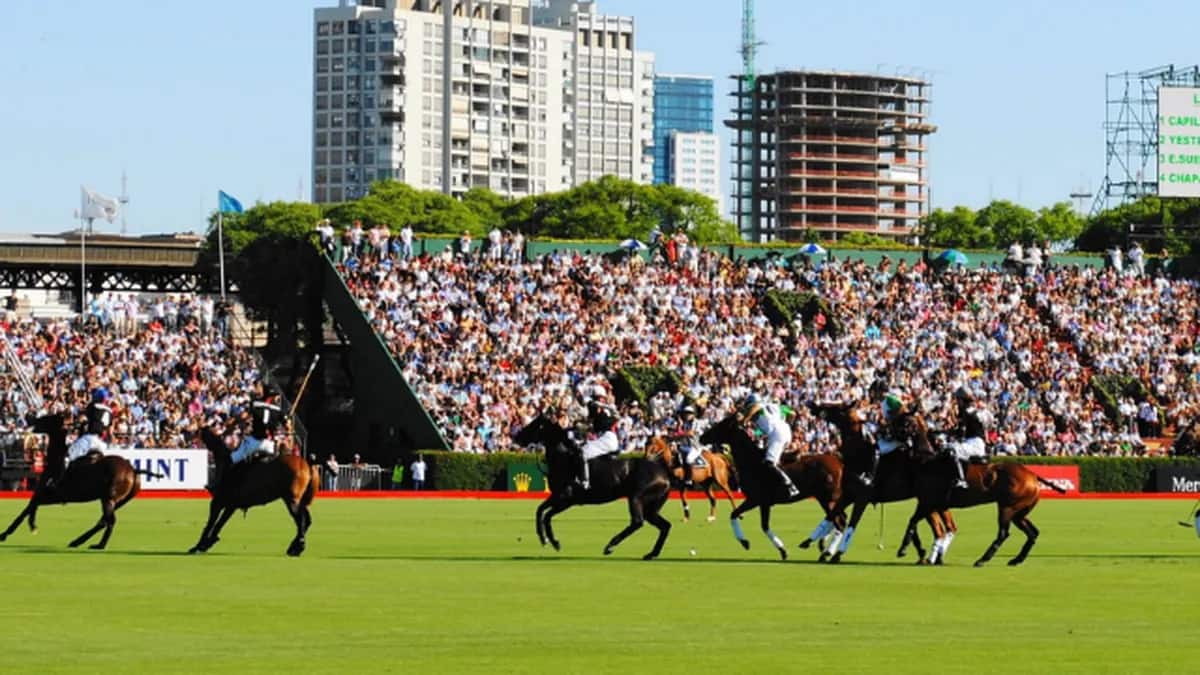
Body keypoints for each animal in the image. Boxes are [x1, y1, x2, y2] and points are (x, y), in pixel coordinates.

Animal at [0, 414, 161, 550]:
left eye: (46, 418)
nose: (30, 418)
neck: (57, 460)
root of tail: (133, 470)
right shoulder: (49, 495)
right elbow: (29, 507)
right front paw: (10, 532)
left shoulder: (53, 495)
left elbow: (30, 507)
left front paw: (28, 526)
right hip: (118, 501)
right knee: (104, 521)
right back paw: (80, 542)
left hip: (108, 498)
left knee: (109, 521)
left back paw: (97, 544)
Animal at [188, 427, 319, 557]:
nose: (202, 430)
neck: (227, 465)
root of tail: (307, 464)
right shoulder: (231, 506)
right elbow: (218, 525)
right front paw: (208, 543)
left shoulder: (218, 502)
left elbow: (210, 524)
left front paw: (198, 546)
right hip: (298, 500)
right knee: (307, 520)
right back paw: (294, 547)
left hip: (291, 500)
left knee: (301, 520)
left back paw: (298, 547)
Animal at [512, 413, 673, 560]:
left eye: (534, 425)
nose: (516, 437)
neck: (565, 459)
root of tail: (664, 474)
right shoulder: (558, 497)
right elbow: (540, 510)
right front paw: (544, 538)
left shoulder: (566, 500)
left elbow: (546, 515)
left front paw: (552, 541)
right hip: (651, 506)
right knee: (665, 525)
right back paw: (652, 554)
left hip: (636, 497)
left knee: (638, 522)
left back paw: (610, 546)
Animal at [698, 414, 842, 560]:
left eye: (720, 425)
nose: (701, 437)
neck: (752, 461)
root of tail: (839, 461)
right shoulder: (762, 503)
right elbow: (749, 520)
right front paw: (779, 549)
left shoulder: (756, 500)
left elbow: (753, 521)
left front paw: (746, 542)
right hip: (829, 499)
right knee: (837, 520)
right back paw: (818, 545)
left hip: (827, 499)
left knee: (839, 523)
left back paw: (826, 551)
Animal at [896, 412, 1065, 566]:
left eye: (905, 422)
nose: (893, 437)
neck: (928, 462)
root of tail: (1032, 475)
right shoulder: (932, 504)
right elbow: (916, 523)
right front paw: (922, 552)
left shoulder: (928, 502)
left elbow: (913, 522)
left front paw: (904, 549)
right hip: (1019, 512)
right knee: (1033, 533)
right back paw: (1017, 559)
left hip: (1007, 508)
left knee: (1004, 534)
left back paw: (983, 559)